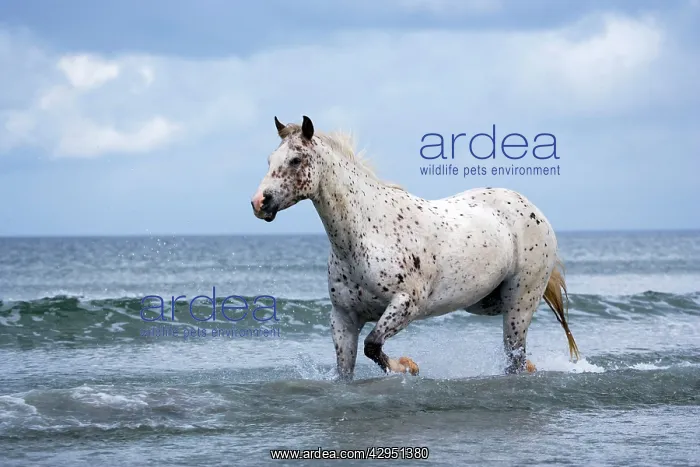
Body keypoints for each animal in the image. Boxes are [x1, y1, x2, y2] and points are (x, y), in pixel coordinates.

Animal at [251, 115, 580, 380]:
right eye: (269, 160)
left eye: (295, 160)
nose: (259, 203)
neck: (367, 234)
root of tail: (532, 208)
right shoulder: (343, 318)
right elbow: (347, 369)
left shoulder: (406, 303)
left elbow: (373, 346)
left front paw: (408, 367)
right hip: (486, 303)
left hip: (519, 305)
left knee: (515, 358)